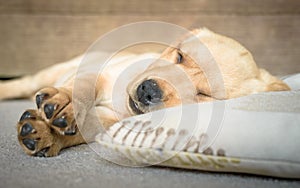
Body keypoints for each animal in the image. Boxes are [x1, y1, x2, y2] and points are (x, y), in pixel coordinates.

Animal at [0, 28, 290, 157]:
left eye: (203, 95)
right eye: (179, 56)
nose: (148, 89)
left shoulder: (111, 120)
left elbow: (87, 126)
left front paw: (45, 134)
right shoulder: (103, 72)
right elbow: (82, 87)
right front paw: (65, 103)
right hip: (52, 72)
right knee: (23, 83)